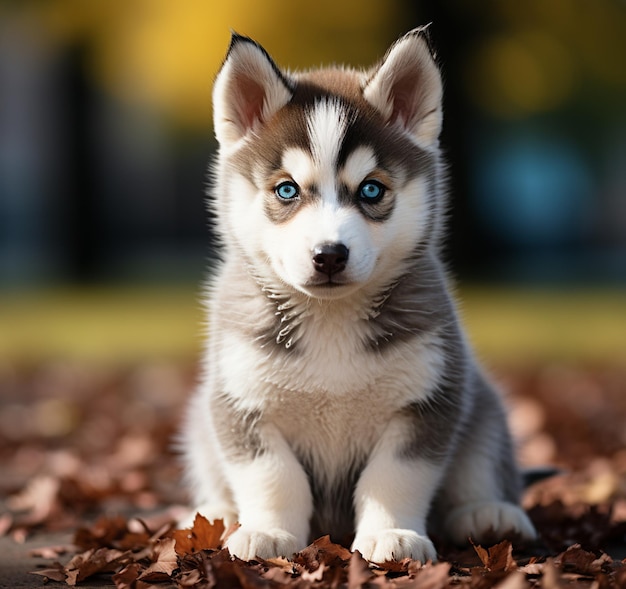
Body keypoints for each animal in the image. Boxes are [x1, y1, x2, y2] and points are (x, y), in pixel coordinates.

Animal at [179, 26, 532, 560]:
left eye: (371, 190)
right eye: (286, 190)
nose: (329, 254)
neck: (331, 320)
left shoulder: (428, 398)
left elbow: (394, 477)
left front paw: (392, 534)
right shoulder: (240, 399)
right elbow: (273, 476)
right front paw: (269, 531)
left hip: (484, 406)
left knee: (481, 461)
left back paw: (487, 512)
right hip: (200, 422)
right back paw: (214, 514)